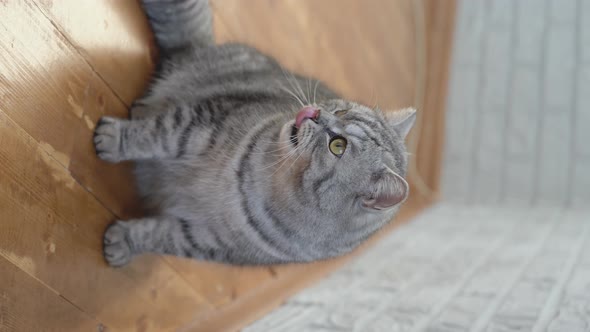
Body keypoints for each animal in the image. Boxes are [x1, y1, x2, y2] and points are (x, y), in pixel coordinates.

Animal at [96, 0, 416, 266]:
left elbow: (159, 236)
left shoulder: (209, 241)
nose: (314, 112)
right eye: (340, 110)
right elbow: (156, 134)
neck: (271, 181)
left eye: (338, 145)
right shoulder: (202, 123)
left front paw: (123, 243)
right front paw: (115, 139)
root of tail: (206, 48)